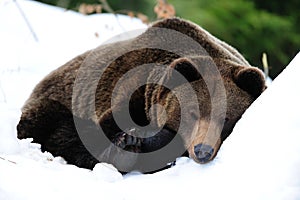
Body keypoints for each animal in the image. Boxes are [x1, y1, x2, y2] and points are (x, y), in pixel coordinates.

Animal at [17, 18, 264, 173]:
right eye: (193, 112)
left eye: (227, 118)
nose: (202, 150)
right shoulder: (128, 92)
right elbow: (92, 138)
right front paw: (129, 143)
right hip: (53, 100)